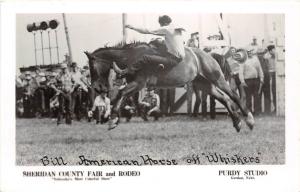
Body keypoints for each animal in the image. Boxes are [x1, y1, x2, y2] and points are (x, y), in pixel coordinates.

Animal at [84, 41, 253, 132]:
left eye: (92, 66)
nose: (97, 87)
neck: (132, 57)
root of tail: (209, 55)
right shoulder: (136, 86)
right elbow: (124, 96)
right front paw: (115, 119)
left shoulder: (138, 83)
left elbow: (121, 93)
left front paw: (112, 119)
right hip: (204, 84)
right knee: (224, 98)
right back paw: (237, 122)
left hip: (217, 79)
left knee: (233, 95)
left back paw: (249, 119)